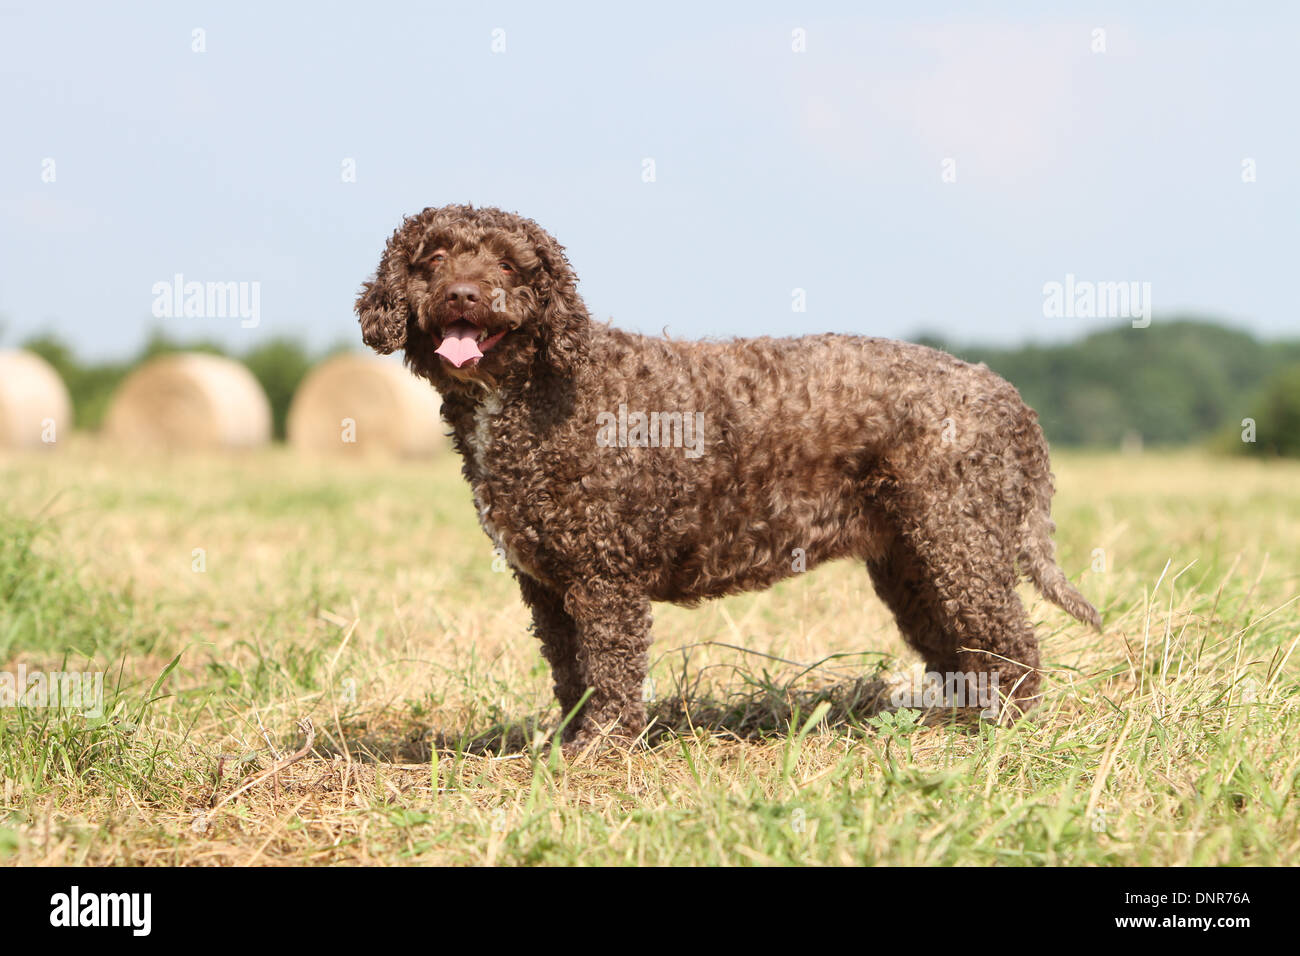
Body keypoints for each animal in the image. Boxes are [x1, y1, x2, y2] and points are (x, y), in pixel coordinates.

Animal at [356, 204, 1097, 754]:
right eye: (433, 259)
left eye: (509, 263)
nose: (463, 294)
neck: (539, 389)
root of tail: (1006, 394)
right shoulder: (546, 584)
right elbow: (572, 676)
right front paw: (569, 746)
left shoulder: (604, 578)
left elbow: (611, 672)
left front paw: (604, 752)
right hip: (913, 562)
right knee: (960, 646)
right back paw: (957, 728)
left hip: (959, 542)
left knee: (1011, 643)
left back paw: (1004, 735)